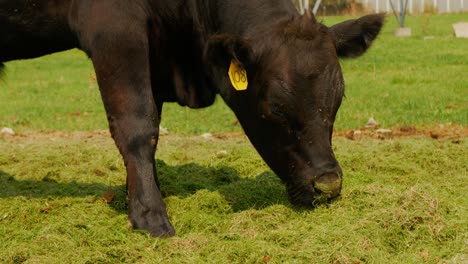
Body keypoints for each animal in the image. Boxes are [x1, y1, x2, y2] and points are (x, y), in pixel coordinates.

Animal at [0, 0, 382, 237]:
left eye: (338, 98)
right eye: (276, 107)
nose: (328, 186)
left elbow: (152, 131)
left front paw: (139, 195)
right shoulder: (115, 32)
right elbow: (137, 126)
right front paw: (150, 216)